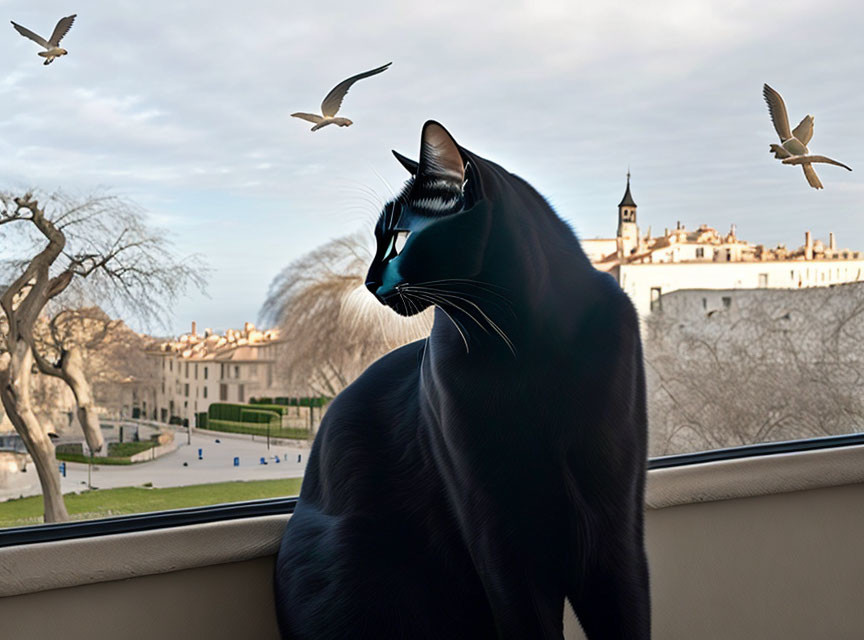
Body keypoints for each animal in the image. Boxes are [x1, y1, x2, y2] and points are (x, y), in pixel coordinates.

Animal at [276, 121, 648, 640]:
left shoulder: (615, 527)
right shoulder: (499, 536)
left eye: (400, 238)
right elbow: (527, 621)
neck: (523, 347)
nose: (367, 281)